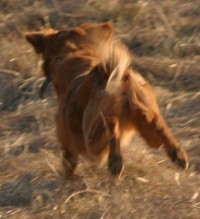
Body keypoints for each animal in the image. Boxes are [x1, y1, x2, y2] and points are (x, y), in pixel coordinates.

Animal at [25, 21, 188, 177]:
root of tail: (114, 76)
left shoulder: (68, 142)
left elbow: (69, 164)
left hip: (91, 141)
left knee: (112, 124)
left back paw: (115, 162)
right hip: (148, 126)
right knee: (158, 124)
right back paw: (177, 154)